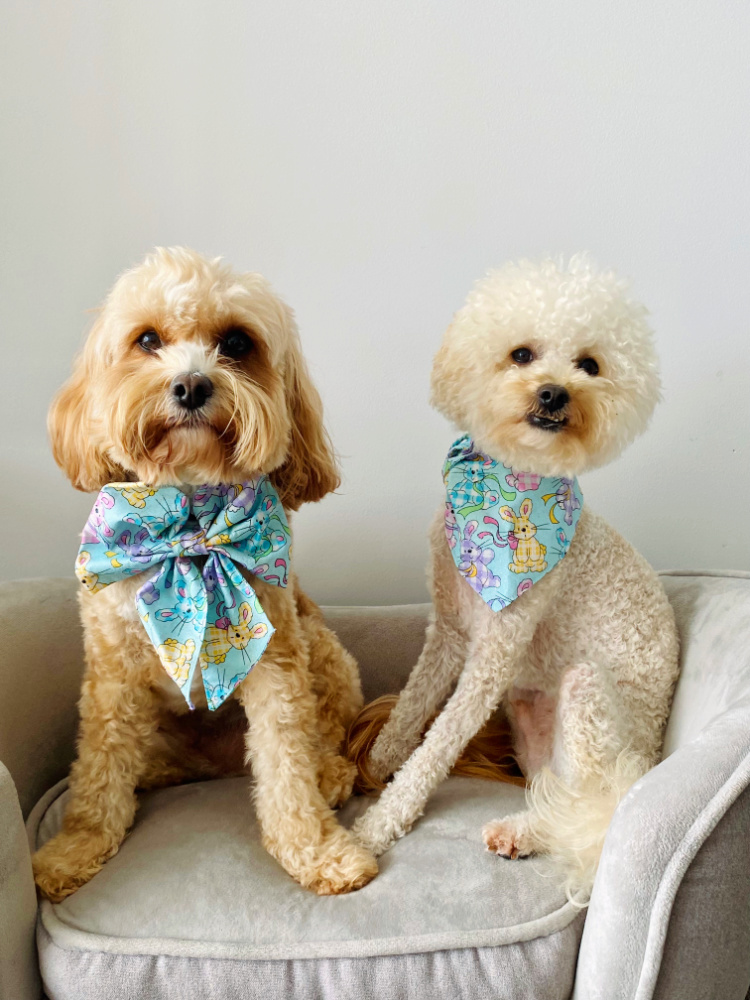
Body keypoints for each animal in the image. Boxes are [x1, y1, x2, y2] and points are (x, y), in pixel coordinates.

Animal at [352, 258, 680, 900]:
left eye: (590, 365)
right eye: (521, 354)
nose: (554, 392)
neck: (510, 486)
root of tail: (651, 755)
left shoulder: (494, 654)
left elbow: (438, 743)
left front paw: (380, 821)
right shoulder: (449, 628)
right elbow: (413, 704)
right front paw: (378, 762)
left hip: (589, 701)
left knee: (593, 811)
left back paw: (520, 832)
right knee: (562, 802)